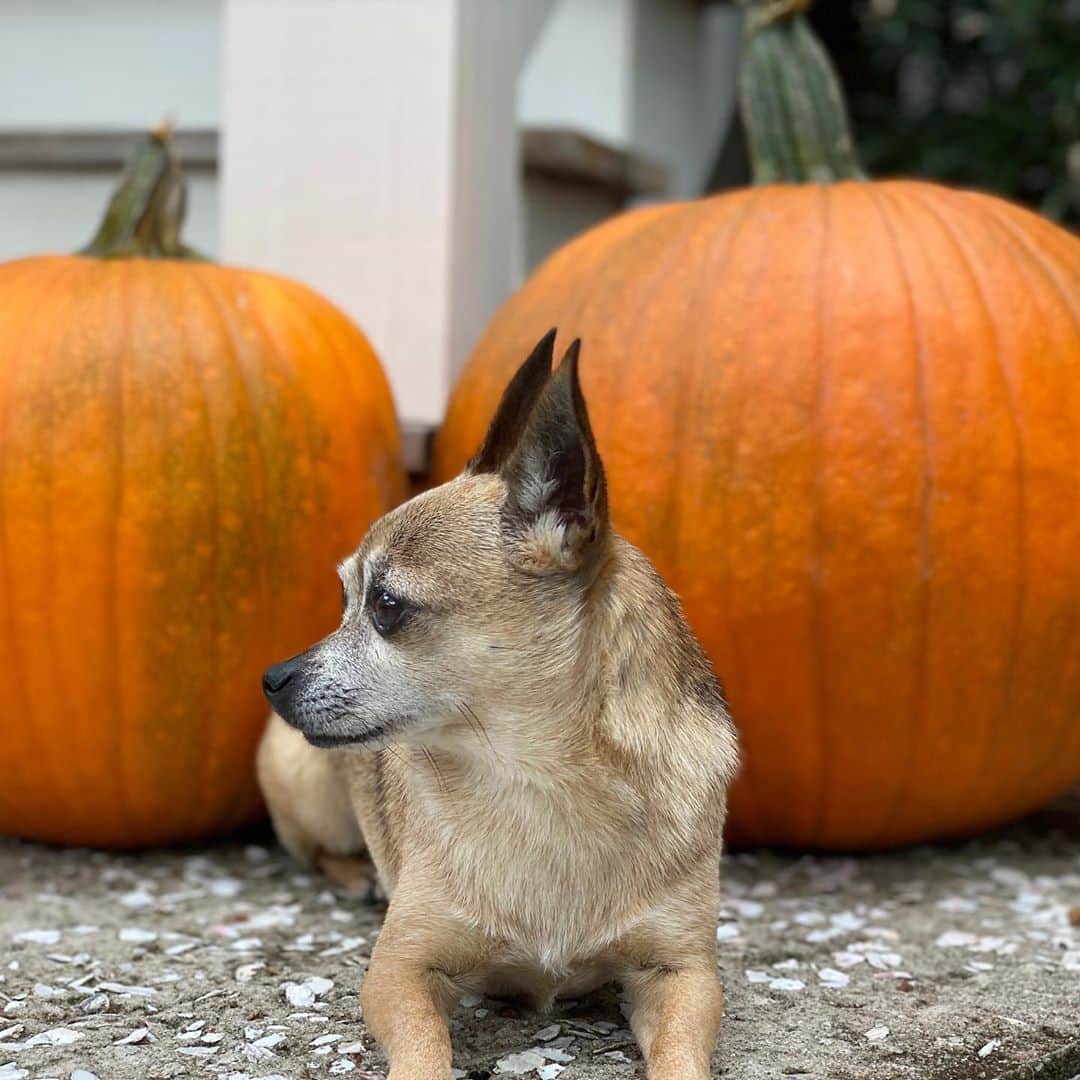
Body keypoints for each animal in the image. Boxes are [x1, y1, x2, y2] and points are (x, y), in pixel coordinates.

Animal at [257, 328, 738, 1080]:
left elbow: (683, 1057)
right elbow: (423, 1049)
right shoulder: (400, 972)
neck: (540, 782)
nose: (274, 677)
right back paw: (359, 873)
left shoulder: (682, 974)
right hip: (305, 784)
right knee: (313, 850)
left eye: (385, 607)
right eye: (342, 601)